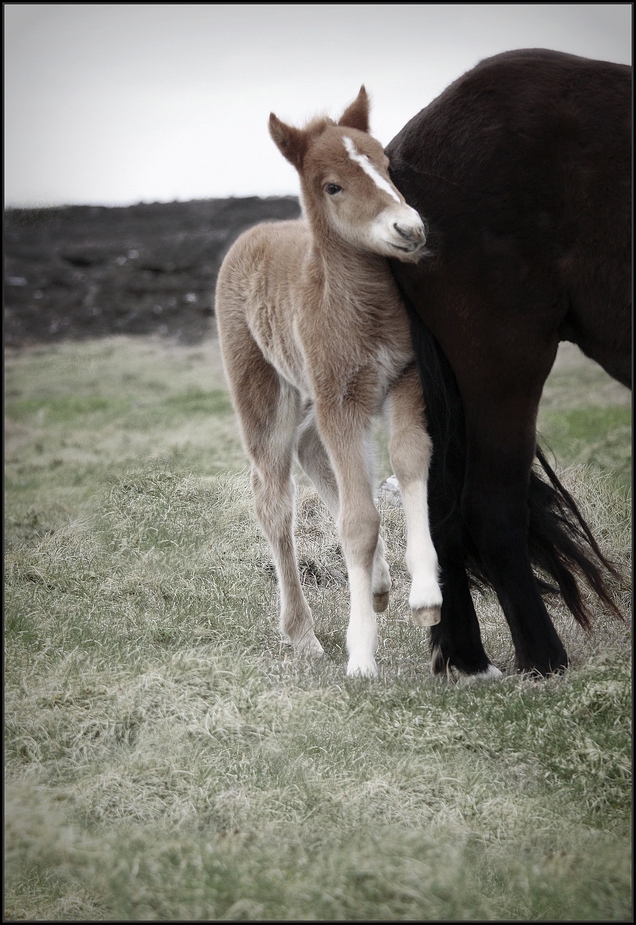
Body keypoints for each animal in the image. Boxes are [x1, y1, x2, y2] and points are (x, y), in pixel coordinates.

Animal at [216, 86, 440, 676]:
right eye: (332, 186)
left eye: (387, 166)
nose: (409, 229)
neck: (363, 308)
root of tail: (253, 234)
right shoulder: (341, 398)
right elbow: (357, 522)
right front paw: (360, 654)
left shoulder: (405, 376)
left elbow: (409, 459)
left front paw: (426, 593)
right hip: (266, 393)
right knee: (274, 500)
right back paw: (302, 634)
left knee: (313, 450)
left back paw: (381, 583)